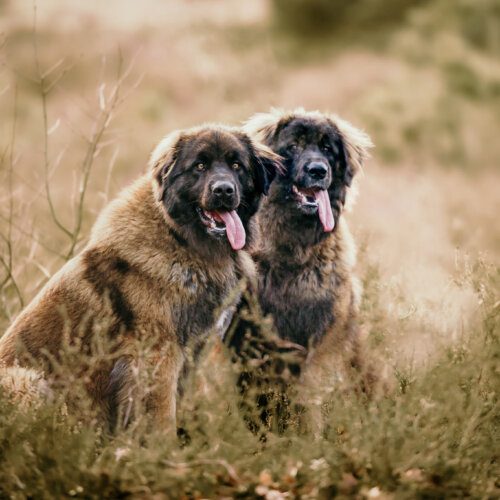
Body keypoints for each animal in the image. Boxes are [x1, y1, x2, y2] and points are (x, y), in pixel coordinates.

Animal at [0, 123, 282, 428]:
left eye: (236, 165)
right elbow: (162, 420)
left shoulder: (191, 355)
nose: (224, 191)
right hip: (28, 380)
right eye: (200, 165)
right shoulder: (157, 356)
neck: (181, 240)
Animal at [225, 110, 374, 434]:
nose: (318, 171)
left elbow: (309, 398)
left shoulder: (320, 342)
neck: (294, 252)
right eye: (293, 146)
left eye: (328, 149)